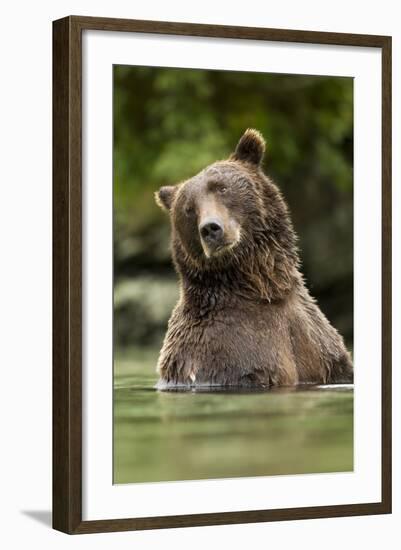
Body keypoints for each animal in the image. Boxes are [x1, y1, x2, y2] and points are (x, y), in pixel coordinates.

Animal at [155, 129, 352, 388]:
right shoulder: (226, 351)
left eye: (222, 188)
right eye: (188, 209)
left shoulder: (317, 340)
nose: (210, 228)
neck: (263, 289)